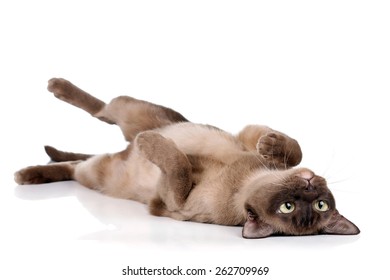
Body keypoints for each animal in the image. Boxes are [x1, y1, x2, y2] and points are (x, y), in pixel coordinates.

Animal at [13, 77, 362, 238]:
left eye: (289, 208)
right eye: (321, 203)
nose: (309, 184)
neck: (245, 177)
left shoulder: (173, 201)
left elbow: (178, 163)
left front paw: (151, 143)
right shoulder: (246, 134)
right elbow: (292, 146)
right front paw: (271, 143)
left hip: (97, 173)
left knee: (79, 159)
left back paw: (26, 173)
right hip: (136, 111)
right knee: (102, 111)